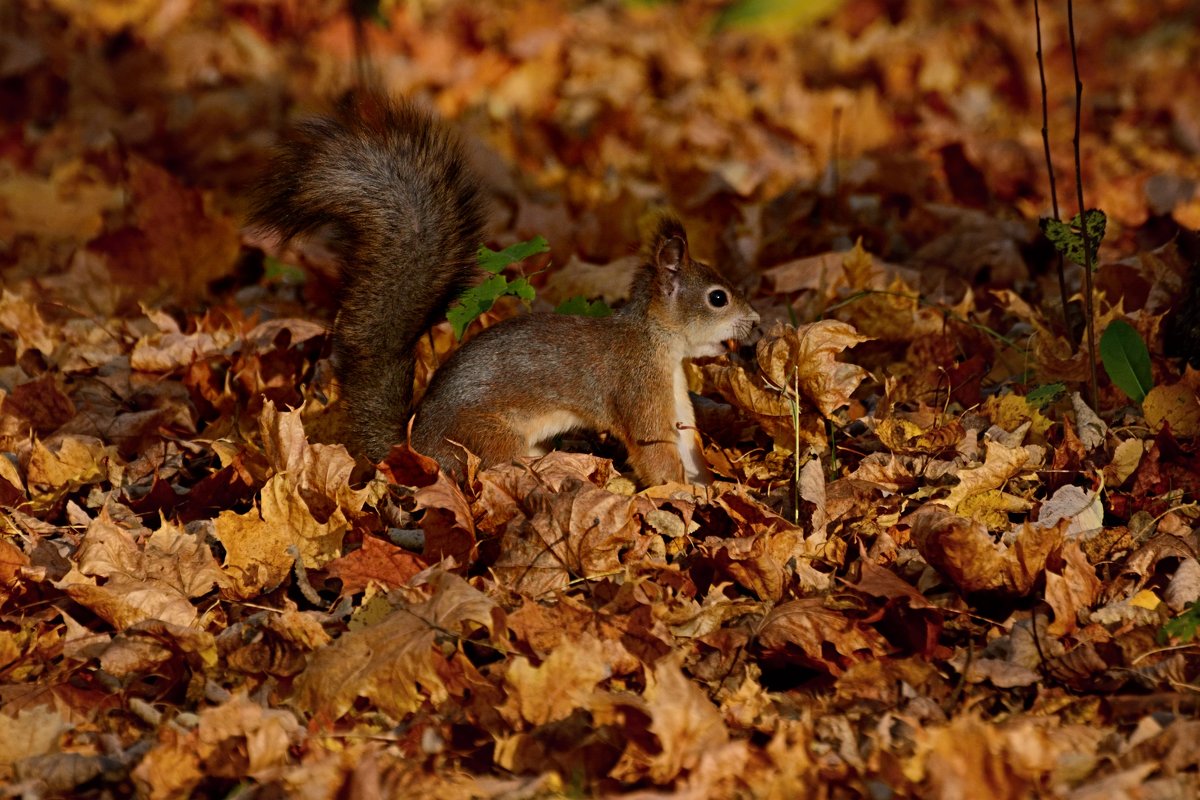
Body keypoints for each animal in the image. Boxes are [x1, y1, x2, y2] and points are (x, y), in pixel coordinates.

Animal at [250, 90, 758, 484]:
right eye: (718, 298)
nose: (756, 322)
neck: (655, 340)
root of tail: (415, 448)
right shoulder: (638, 385)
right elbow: (655, 449)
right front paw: (681, 498)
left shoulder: (673, 389)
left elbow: (688, 440)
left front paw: (707, 487)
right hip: (486, 439)